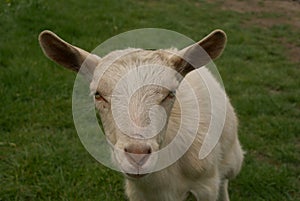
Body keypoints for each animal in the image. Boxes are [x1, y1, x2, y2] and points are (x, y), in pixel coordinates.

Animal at [38, 28, 244, 201]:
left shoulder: (206, 187)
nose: (137, 156)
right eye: (98, 94)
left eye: (170, 93)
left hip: (233, 160)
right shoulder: (139, 193)